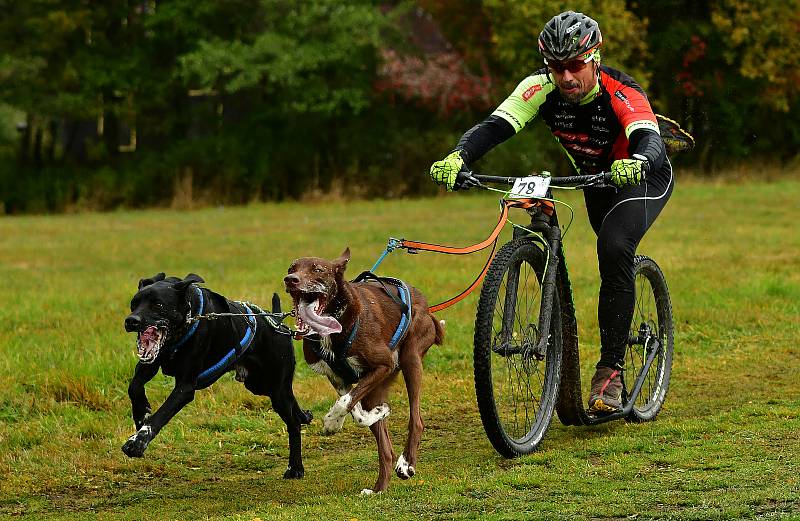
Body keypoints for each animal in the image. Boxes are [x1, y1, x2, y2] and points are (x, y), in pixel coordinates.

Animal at [123, 274, 310, 478]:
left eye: (158, 304)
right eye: (134, 304)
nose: (131, 320)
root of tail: (277, 321)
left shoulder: (185, 387)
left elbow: (162, 414)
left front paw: (138, 441)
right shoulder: (150, 364)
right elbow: (134, 387)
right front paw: (141, 413)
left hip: (274, 388)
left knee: (293, 423)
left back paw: (295, 467)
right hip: (260, 386)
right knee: (293, 405)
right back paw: (305, 416)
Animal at [284, 247, 444, 492]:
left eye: (318, 269)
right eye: (291, 268)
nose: (290, 279)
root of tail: (426, 305)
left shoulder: (384, 364)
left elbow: (344, 403)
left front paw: (331, 422)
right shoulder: (338, 377)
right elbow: (354, 409)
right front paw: (377, 412)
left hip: (410, 359)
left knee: (416, 421)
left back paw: (406, 463)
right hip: (377, 387)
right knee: (385, 450)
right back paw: (379, 488)